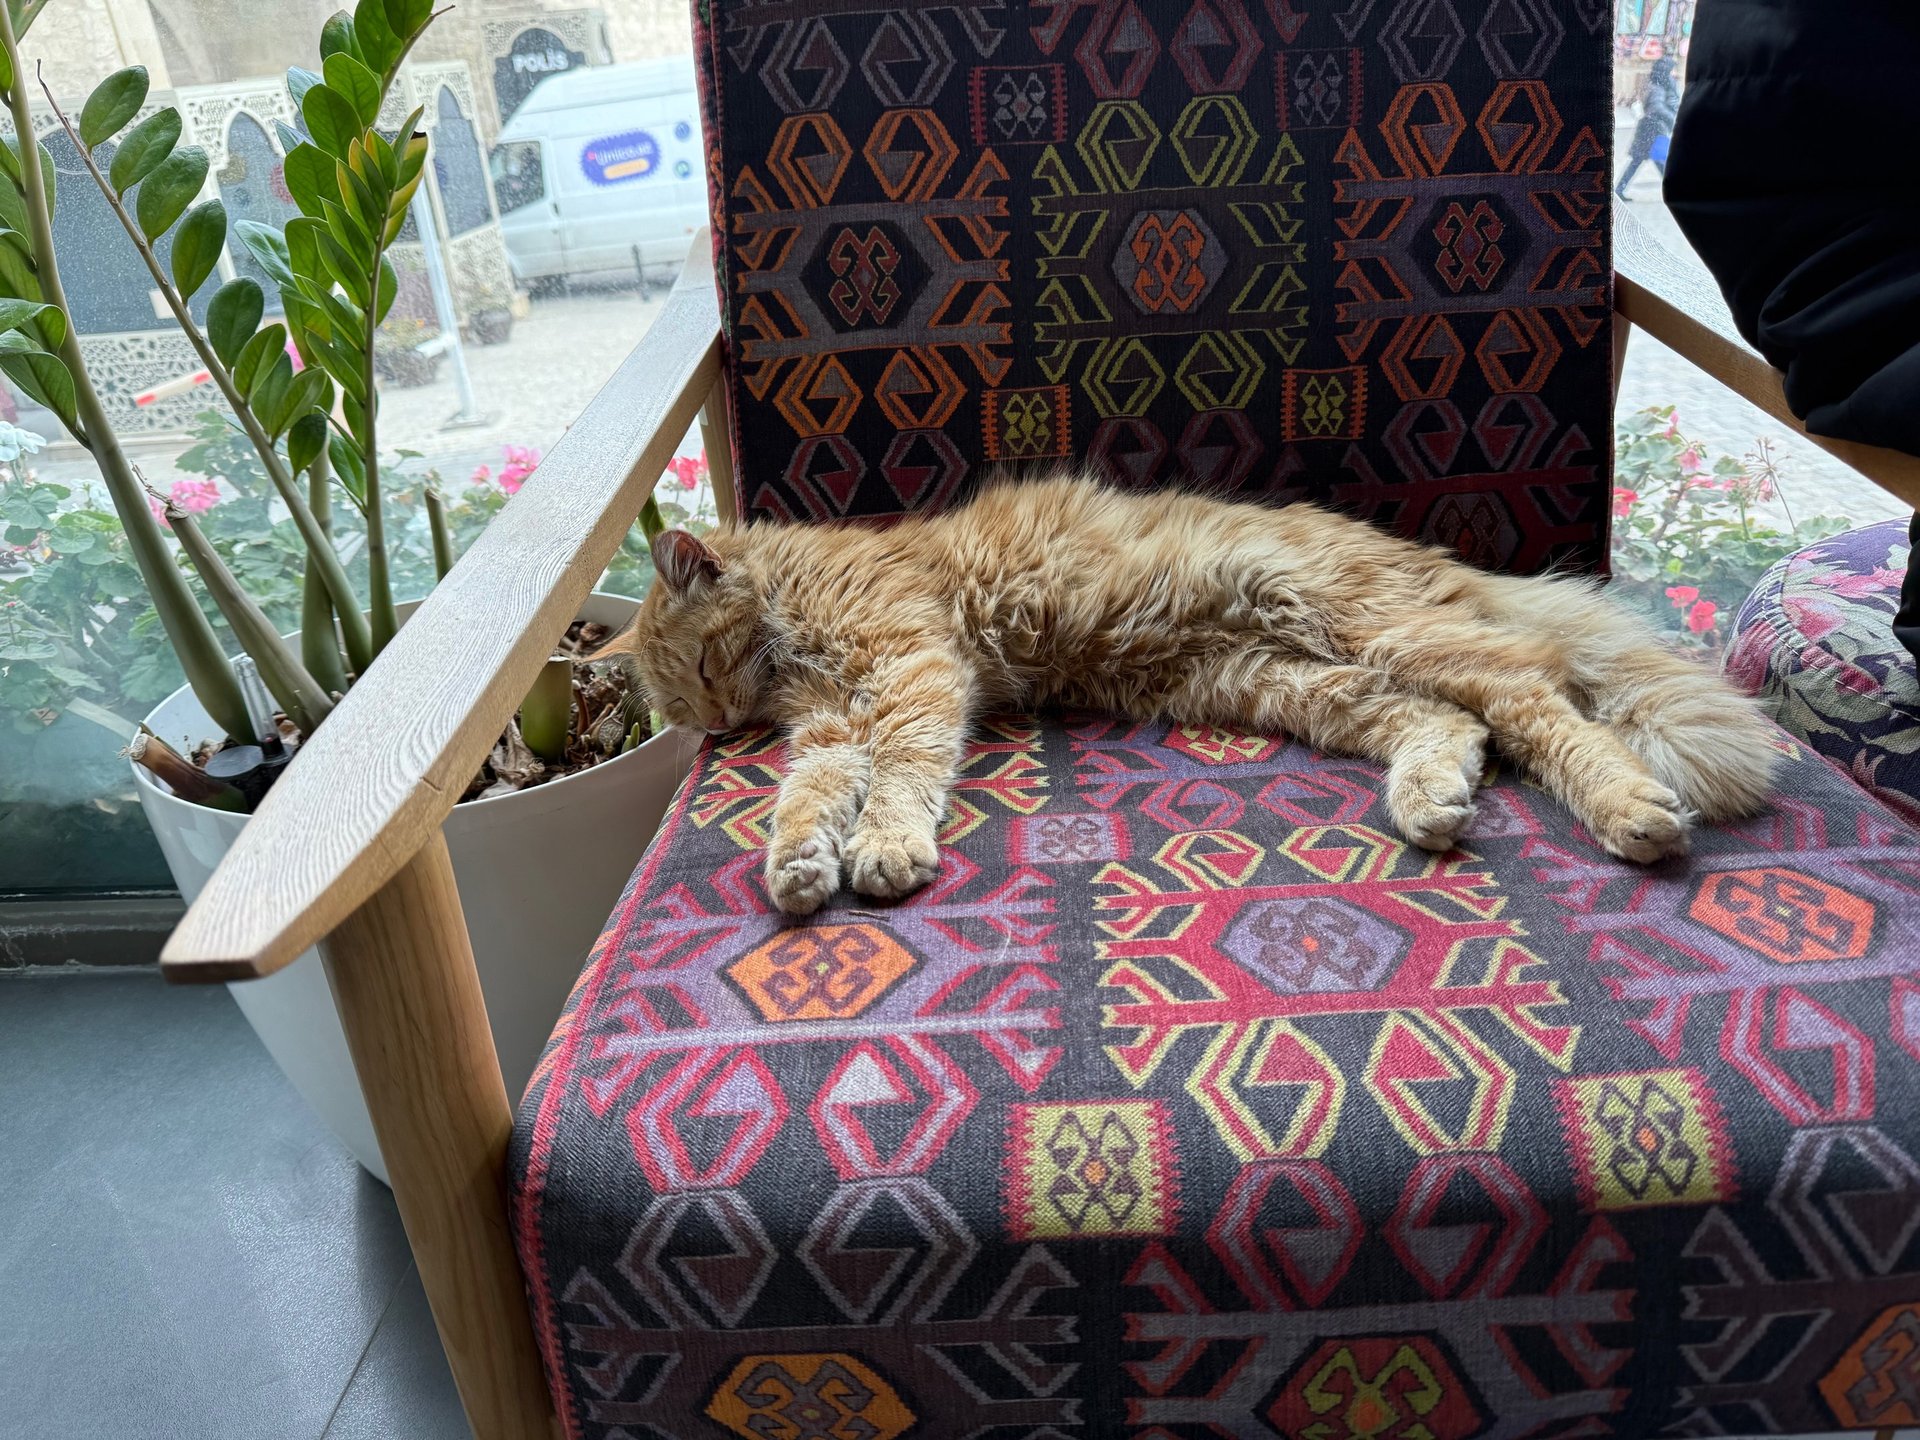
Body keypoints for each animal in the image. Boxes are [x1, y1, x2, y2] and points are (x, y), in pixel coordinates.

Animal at [606, 480, 1774, 917]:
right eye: (691, 713)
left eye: (698, 677)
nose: (720, 729)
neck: (797, 601)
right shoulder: (834, 726)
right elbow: (808, 797)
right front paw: (800, 862)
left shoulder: (909, 671)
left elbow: (900, 778)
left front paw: (883, 845)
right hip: (1286, 679)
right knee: (1447, 719)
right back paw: (1431, 799)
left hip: (1371, 629)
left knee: (1531, 694)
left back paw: (1627, 807)